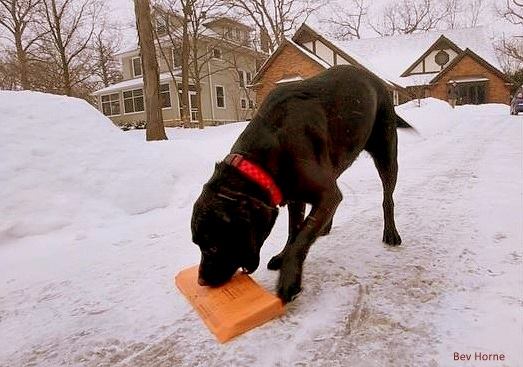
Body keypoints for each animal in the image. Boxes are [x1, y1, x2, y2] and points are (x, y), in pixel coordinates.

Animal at [192, 64, 410, 304]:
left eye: (213, 247)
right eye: (197, 244)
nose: (201, 281)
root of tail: (374, 77)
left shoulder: (325, 193)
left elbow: (301, 237)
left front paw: (289, 280)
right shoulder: (295, 196)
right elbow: (294, 231)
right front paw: (282, 256)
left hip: (386, 154)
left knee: (387, 199)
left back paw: (390, 232)